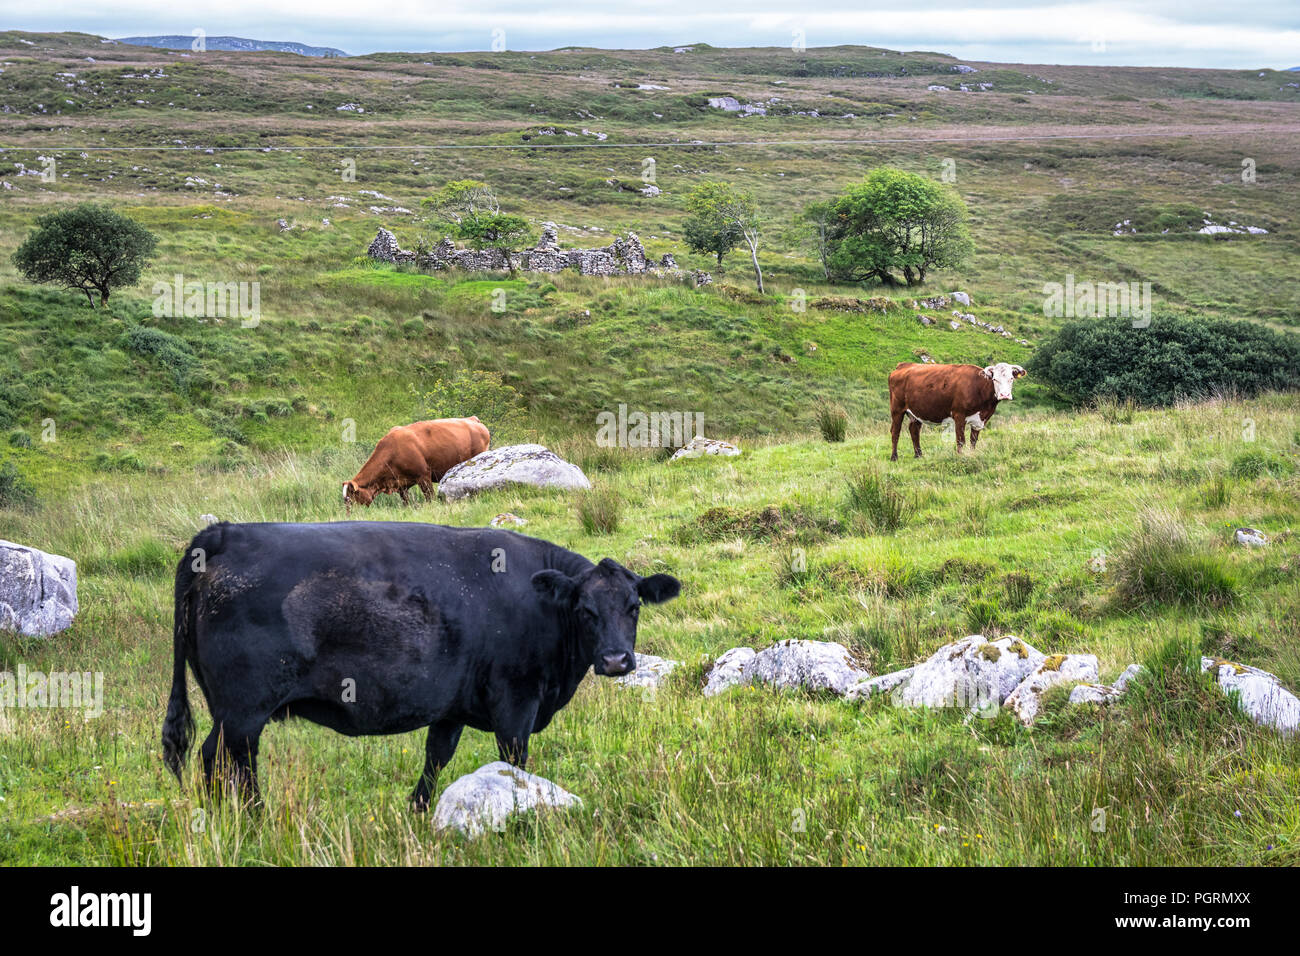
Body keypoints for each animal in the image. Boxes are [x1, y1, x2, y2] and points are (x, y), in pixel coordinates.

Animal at [162, 522, 681, 806]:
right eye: (585, 610)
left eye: (634, 606)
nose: (616, 660)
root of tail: (226, 532)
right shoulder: (516, 701)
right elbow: (513, 763)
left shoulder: (451, 704)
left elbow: (436, 758)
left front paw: (416, 810)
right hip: (244, 711)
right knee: (229, 763)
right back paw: (253, 821)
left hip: (229, 710)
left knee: (215, 761)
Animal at [343, 416, 488, 512]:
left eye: (350, 498)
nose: (350, 515)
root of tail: (473, 419)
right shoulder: (401, 485)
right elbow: (405, 502)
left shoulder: (424, 476)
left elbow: (430, 498)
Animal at [883, 361, 1024, 460]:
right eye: (995, 379)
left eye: (1011, 379)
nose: (1005, 395)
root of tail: (903, 365)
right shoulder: (959, 415)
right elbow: (961, 440)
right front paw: (960, 457)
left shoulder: (980, 420)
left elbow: (973, 440)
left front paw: (972, 454)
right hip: (897, 409)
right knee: (895, 432)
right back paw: (894, 457)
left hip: (916, 411)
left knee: (914, 430)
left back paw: (918, 455)